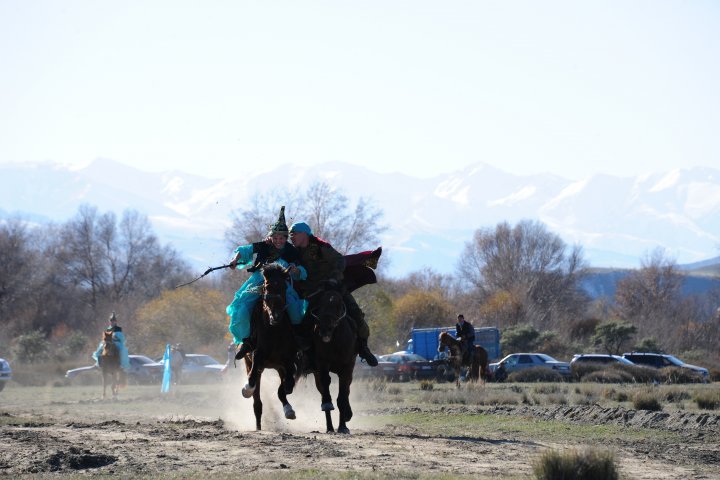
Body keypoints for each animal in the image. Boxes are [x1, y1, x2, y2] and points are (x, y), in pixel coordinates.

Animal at [240, 262, 300, 432]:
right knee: (257, 401)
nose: (276, 316)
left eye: (284, 287)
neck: (274, 330)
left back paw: (288, 409)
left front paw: (288, 404)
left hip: (278, 366)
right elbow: (252, 378)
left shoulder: (287, 360)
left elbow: (287, 384)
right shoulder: (257, 356)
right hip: (249, 361)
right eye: (266, 286)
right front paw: (246, 389)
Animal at [306, 288, 358, 436]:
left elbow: (342, 397)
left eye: (338, 305)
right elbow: (326, 392)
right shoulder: (322, 364)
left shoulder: (347, 368)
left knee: (347, 391)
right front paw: (330, 426)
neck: (335, 343)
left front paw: (343, 427)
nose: (325, 329)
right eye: (320, 303)